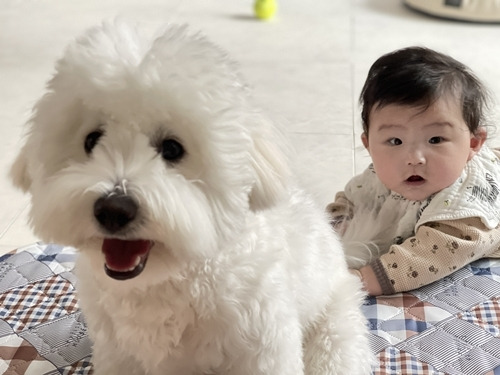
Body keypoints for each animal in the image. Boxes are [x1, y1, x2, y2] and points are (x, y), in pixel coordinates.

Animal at [9, 22, 374, 374]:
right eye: (92, 140)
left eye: (172, 149)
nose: (113, 209)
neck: (170, 277)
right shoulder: (120, 353)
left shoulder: (262, 345)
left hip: (333, 326)